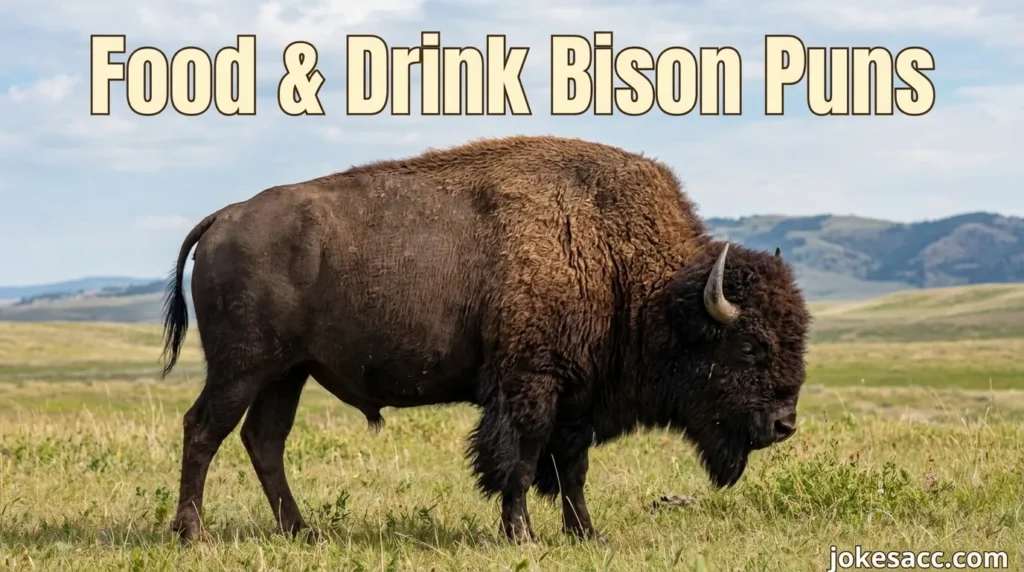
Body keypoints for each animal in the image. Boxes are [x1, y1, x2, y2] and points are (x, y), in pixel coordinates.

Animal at [159, 135, 810, 543]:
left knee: (264, 441)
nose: (784, 425)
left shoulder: (575, 400)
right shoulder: (529, 388)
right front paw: (521, 537)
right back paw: (193, 535)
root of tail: (224, 217)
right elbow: (518, 464)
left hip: (286, 373)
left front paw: (587, 535)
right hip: (242, 367)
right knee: (204, 430)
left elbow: (572, 472)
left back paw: (302, 531)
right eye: (749, 347)